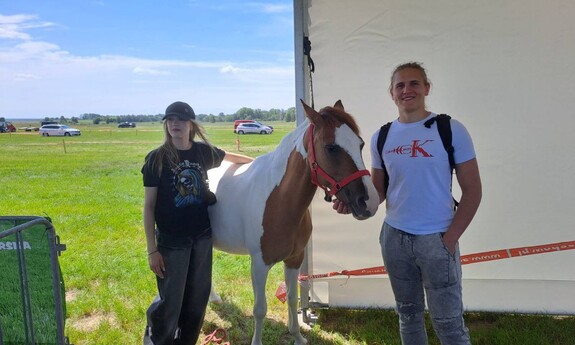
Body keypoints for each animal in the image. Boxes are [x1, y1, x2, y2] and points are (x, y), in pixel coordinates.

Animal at [207, 100, 378, 344]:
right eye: (331, 148)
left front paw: (298, 336)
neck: (279, 200)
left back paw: (214, 298)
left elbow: (291, 298)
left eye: (360, 144)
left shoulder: (294, 260)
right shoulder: (259, 264)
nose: (368, 201)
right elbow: (260, 308)